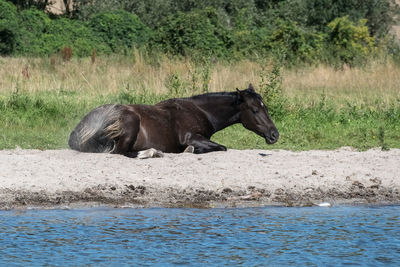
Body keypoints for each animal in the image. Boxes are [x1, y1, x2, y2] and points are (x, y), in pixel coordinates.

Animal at [68, 85, 278, 158]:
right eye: (255, 110)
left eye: (266, 107)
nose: (274, 135)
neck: (201, 111)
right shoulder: (190, 137)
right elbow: (221, 147)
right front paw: (191, 150)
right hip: (131, 124)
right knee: (122, 152)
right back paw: (152, 152)